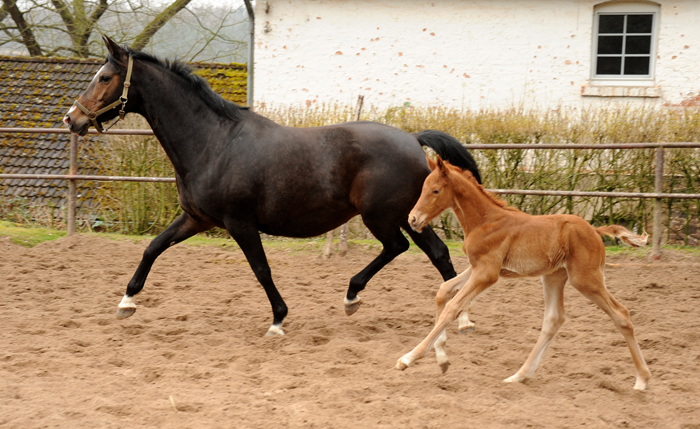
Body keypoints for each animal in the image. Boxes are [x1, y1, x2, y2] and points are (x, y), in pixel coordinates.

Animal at [63, 36, 482, 336]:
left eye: (104, 77)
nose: (71, 119)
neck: (213, 143)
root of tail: (413, 140)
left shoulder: (239, 223)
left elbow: (261, 269)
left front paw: (278, 320)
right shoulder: (196, 219)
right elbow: (153, 247)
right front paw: (126, 303)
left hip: (382, 216)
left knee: (399, 247)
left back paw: (354, 296)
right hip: (407, 215)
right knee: (438, 254)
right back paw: (456, 318)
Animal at [394, 155, 652, 390]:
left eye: (436, 190)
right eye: (423, 189)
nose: (412, 219)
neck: (484, 221)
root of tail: (595, 231)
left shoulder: (487, 272)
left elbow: (452, 307)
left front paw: (407, 358)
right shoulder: (478, 267)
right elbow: (443, 291)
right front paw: (442, 359)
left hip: (586, 279)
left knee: (621, 313)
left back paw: (642, 379)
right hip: (554, 277)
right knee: (554, 319)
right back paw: (519, 376)